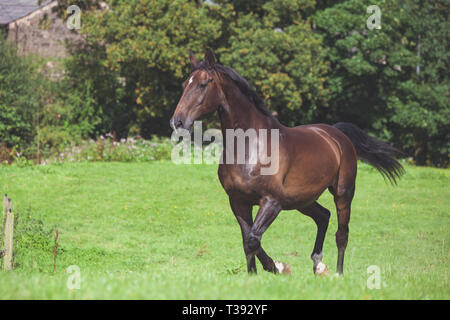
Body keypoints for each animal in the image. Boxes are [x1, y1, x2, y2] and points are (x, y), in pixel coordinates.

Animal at [170, 49, 404, 276]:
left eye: (203, 84)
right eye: (183, 85)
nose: (177, 122)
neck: (249, 146)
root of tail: (337, 134)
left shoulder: (272, 202)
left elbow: (253, 239)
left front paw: (279, 267)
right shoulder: (238, 201)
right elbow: (247, 240)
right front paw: (253, 276)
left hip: (343, 193)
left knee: (342, 234)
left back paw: (337, 273)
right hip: (303, 200)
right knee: (323, 216)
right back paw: (318, 265)